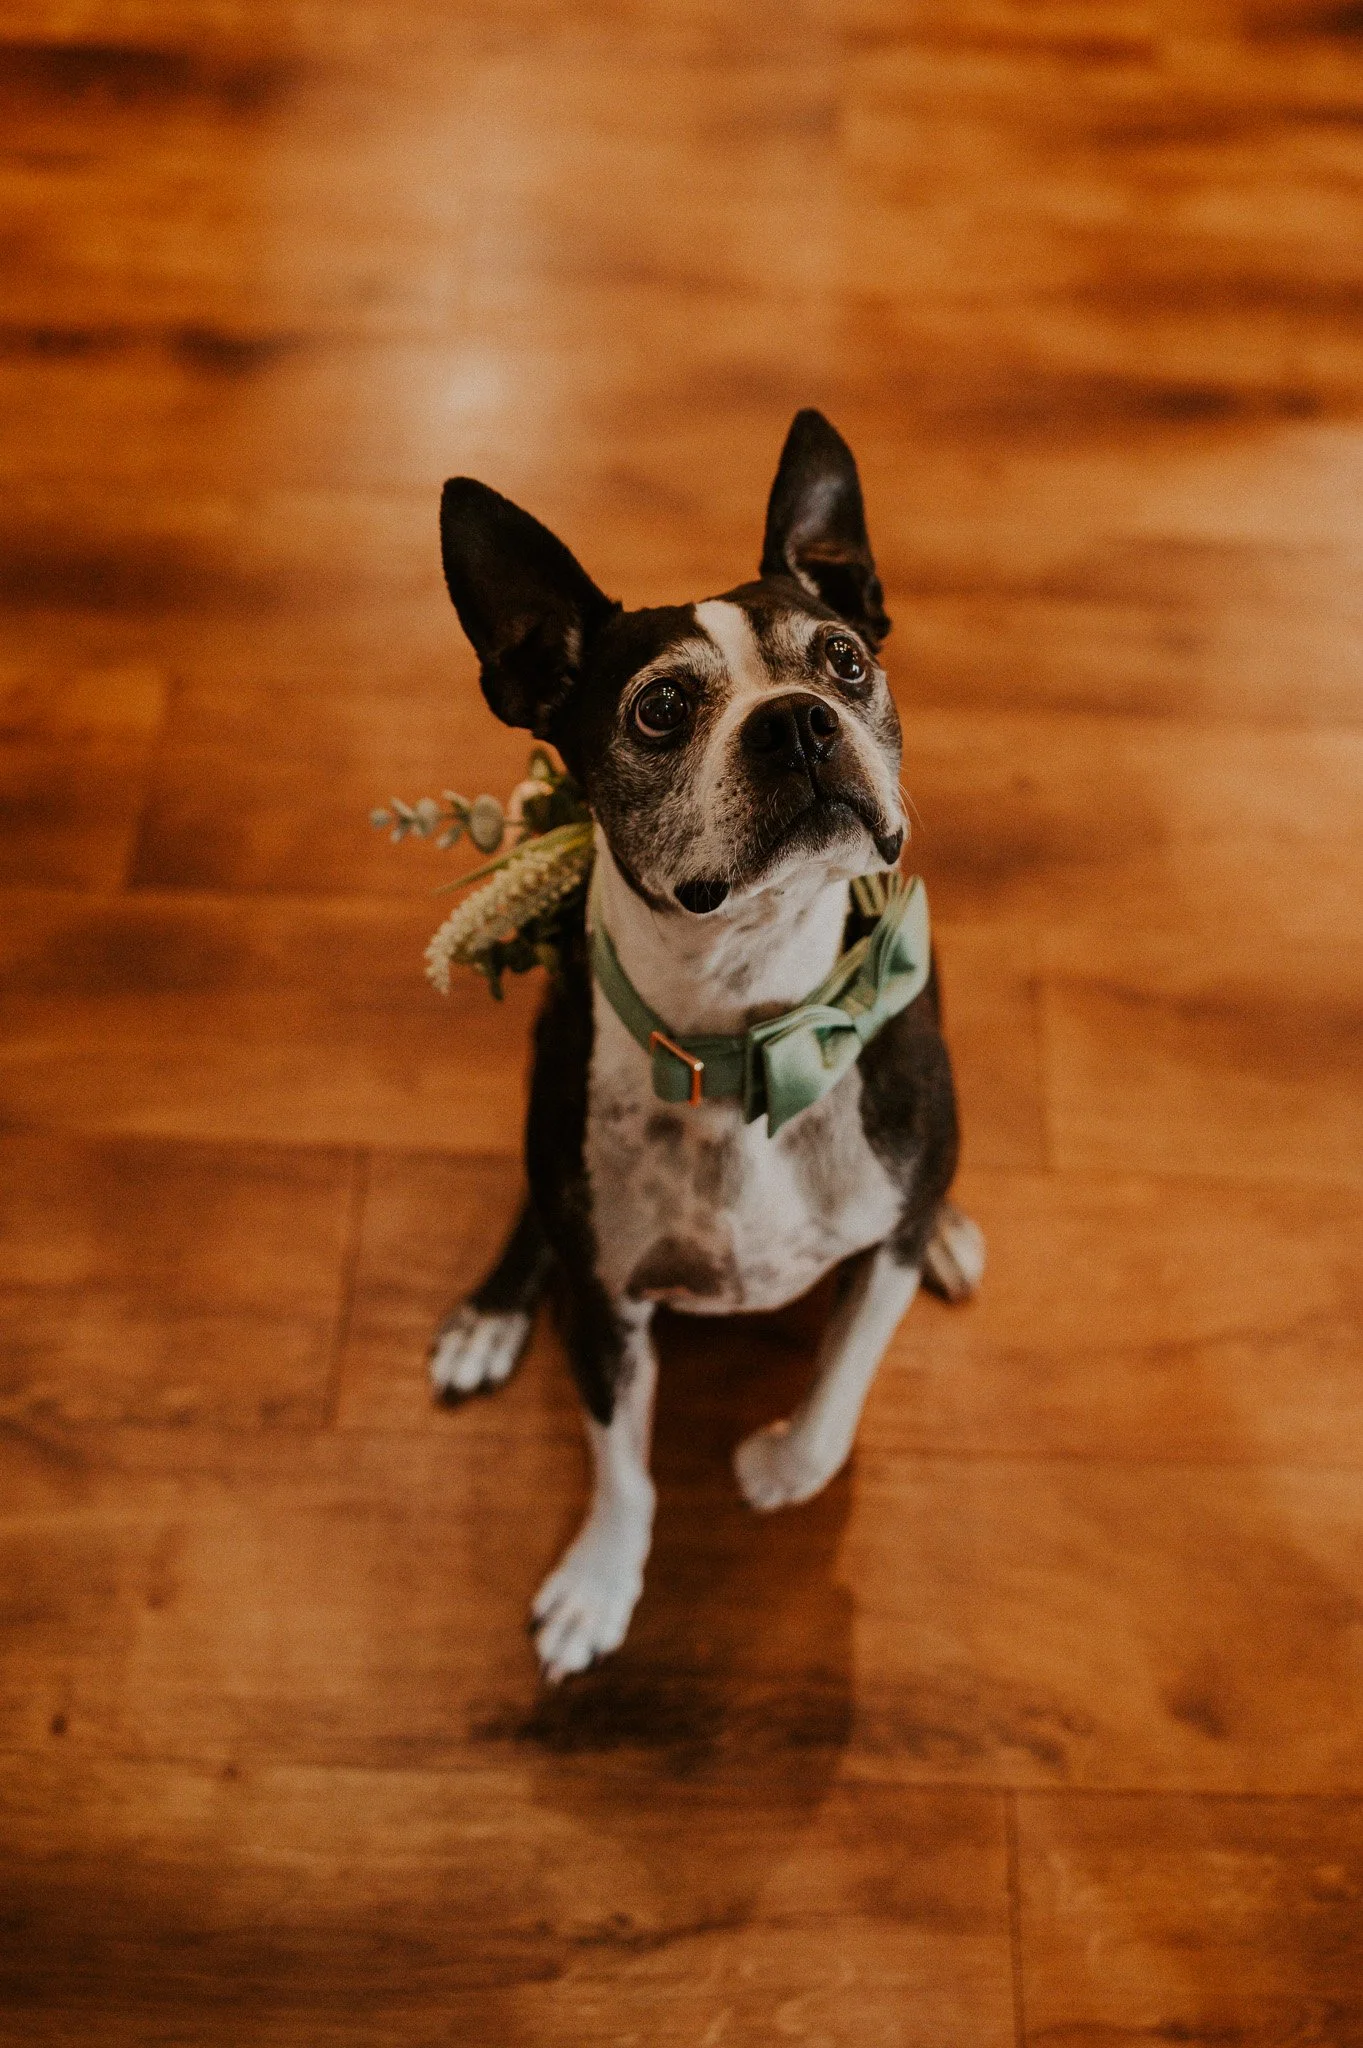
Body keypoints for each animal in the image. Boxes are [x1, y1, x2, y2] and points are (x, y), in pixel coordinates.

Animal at [425, 411, 978, 1679]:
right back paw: (492, 1309)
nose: (799, 719)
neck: (752, 1029)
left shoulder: (876, 1247)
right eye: (661, 707)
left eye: (843, 659)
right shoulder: (609, 1311)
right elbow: (623, 1466)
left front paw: (770, 1467)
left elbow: (831, 1409)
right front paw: (599, 1584)